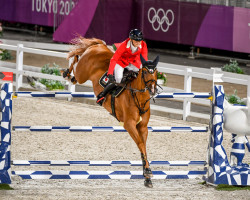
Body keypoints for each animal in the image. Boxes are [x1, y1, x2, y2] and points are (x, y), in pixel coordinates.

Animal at [63, 36, 159, 188]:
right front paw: (148, 173)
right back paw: (67, 73)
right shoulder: (129, 125)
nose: (153, 89)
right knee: (76, 63)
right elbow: (140, 144)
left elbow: (143, 146)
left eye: (156, 72)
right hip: (82, 74)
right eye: (144, 72)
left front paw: (147, 176)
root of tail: (99, 46)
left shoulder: (143, 127)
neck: (137, 96)